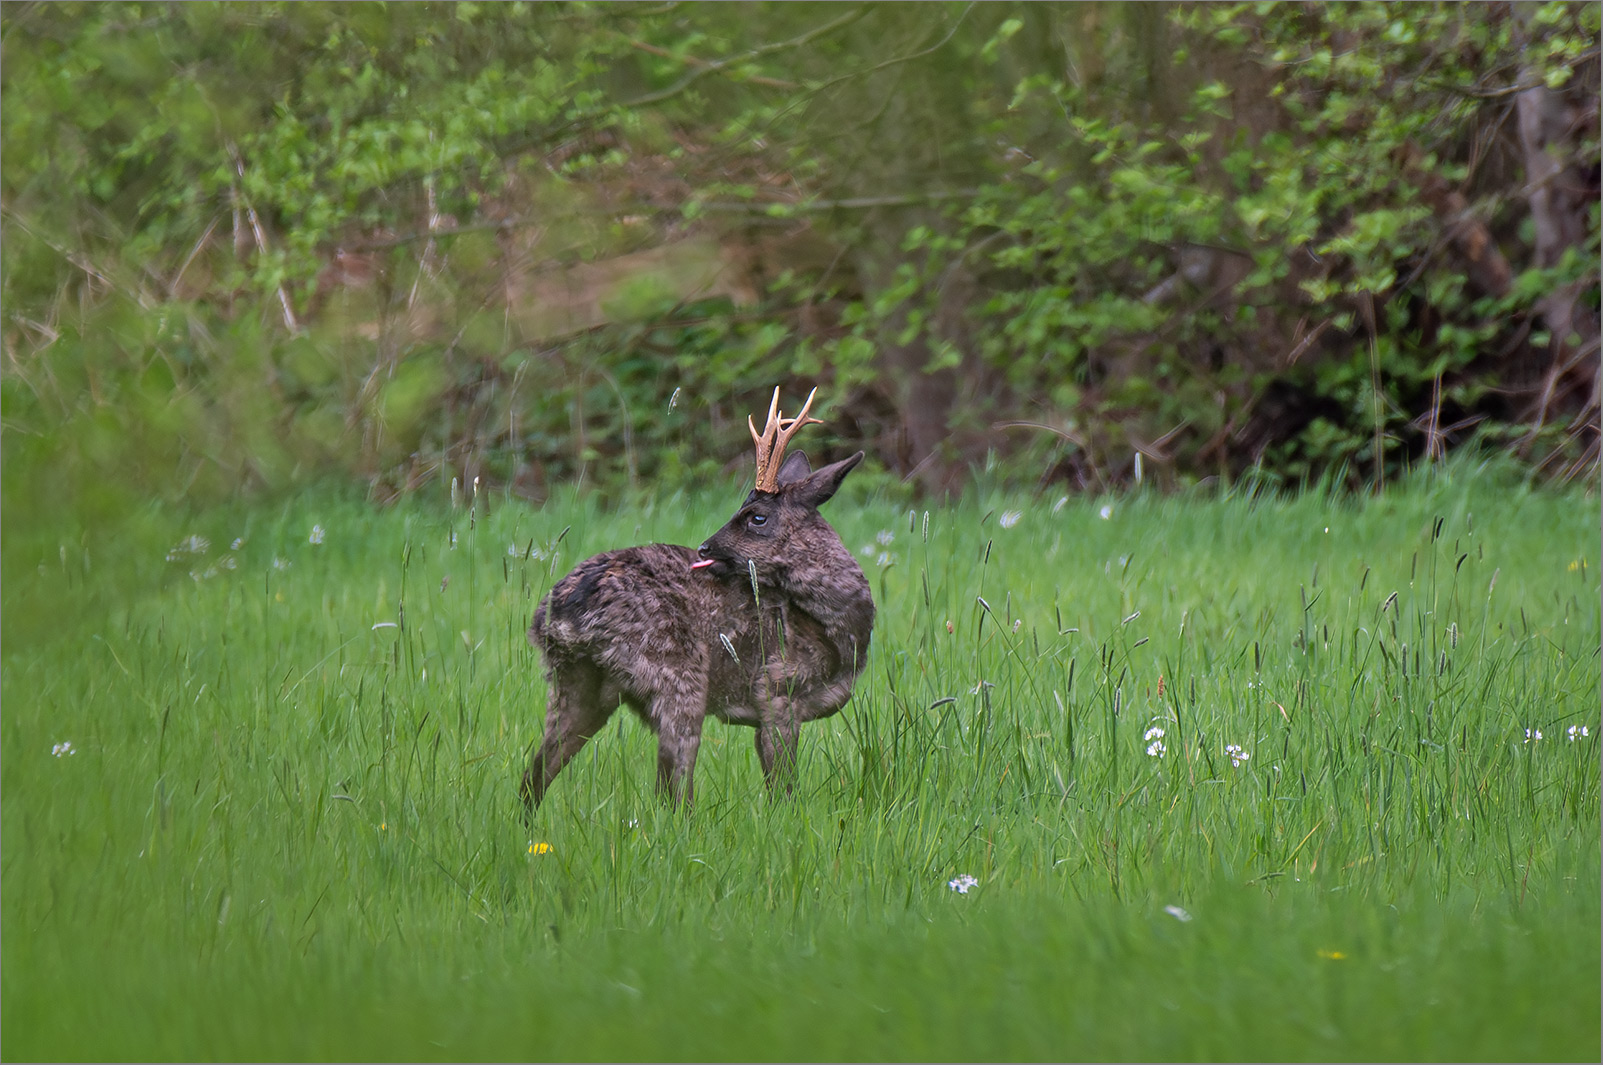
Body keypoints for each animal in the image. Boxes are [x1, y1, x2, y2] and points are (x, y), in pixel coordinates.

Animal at [522, 386, 878, 811]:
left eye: (756, 516)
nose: (705, 547)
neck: (839, 631)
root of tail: (560, 611)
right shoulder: (776, 691)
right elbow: (784, 791)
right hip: (678, 673)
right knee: (673, 791)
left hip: (576, 682)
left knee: (534, 776)